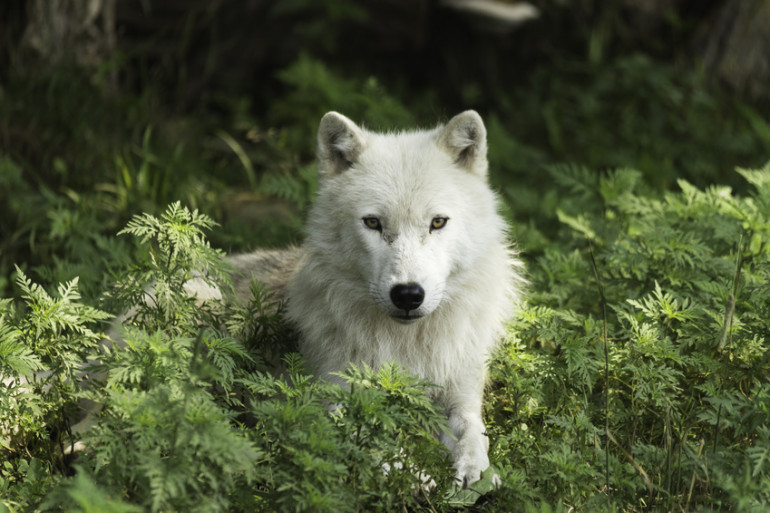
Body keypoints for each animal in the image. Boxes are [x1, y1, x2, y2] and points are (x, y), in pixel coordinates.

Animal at [222, 110, 524, 486]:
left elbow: (473, 432)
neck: (409, 348)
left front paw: (475, 472)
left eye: (438, 222)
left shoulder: (462, 390)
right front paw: (416, 478)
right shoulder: (335, 399)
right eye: (373, 223)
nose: (408, 295)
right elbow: (378, 446)